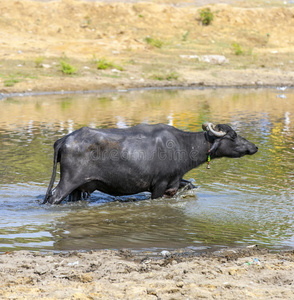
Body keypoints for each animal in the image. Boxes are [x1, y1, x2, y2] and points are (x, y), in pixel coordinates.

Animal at [43, 122, 258, 204]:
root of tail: (65, 139)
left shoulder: (175, 180)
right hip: (68, 181)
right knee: (54, 197)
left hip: (78, 188)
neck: (182, 145)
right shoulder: (159, 185)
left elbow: (189, 185)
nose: (254, 147)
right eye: (233, 136)